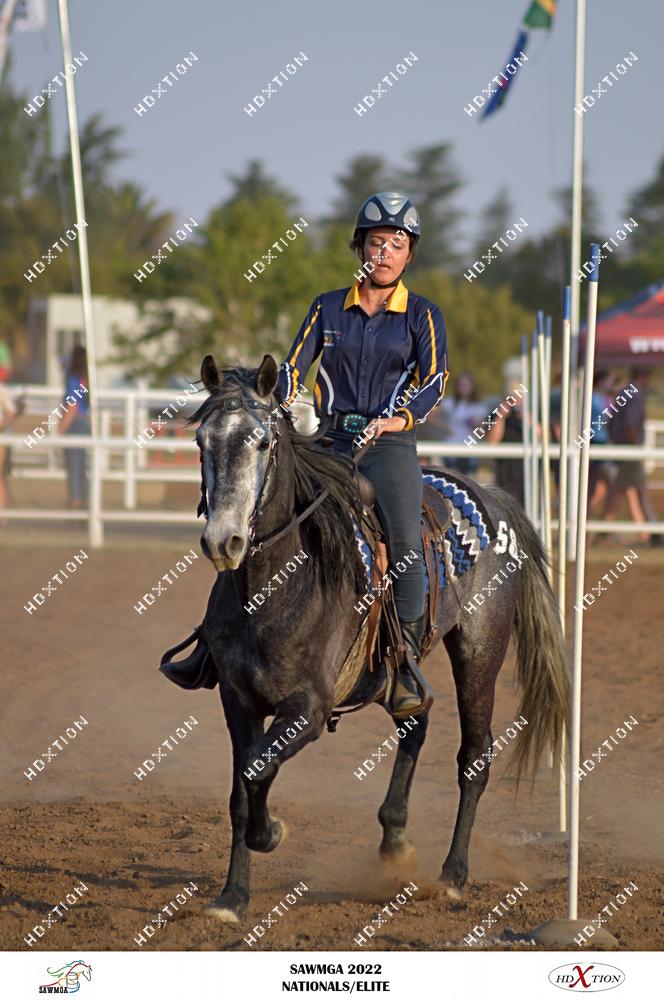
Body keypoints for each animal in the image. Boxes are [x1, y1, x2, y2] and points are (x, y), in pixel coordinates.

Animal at [178, 353, 569, 923]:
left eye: (262, 442)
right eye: (202, 442)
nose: (222, 541)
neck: (275, 587)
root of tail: (490, 498)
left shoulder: (310, 708)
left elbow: (257, 771)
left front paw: (271, 834)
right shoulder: (237, 700)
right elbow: (241, 789)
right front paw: (232, 896)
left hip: (479, 654)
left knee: (474, 758)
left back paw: (452, 875)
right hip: (400, 672)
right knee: (417, 721)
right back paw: (395, 840)